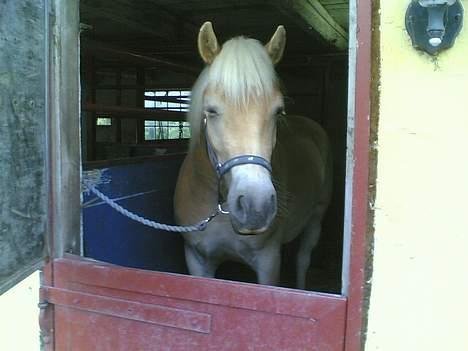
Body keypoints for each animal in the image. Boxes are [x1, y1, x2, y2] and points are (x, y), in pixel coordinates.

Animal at [173, 23, 332, 290]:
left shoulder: (268, 262)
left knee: (303, 259)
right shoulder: (196, 259)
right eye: (211, 111)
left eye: (278, 111)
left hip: (316, 217)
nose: (256, 206)